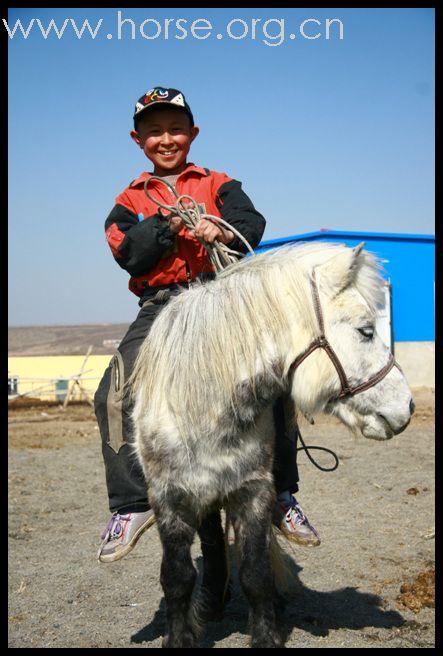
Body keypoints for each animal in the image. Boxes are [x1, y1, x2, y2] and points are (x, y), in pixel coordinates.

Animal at [130, 243, 414, 648]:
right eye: (366, 330)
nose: (408, 406)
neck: (202, 408)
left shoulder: (253, 491)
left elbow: (256, 573)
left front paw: (266, 635)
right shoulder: (169, 498)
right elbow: (177, 578)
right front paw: (179, 637)